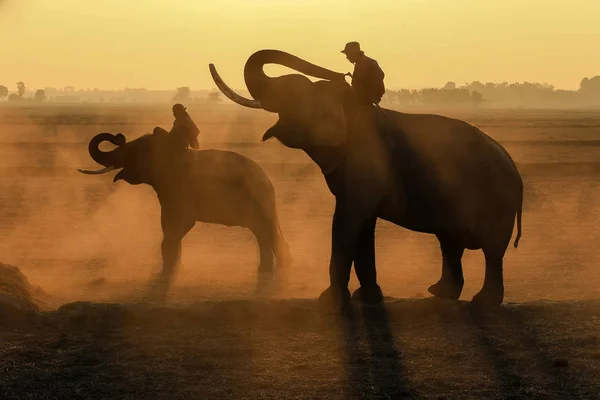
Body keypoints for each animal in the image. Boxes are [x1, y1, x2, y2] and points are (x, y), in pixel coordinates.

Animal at [76, 130, 292, 298]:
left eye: (134, 151)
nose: (118, 136)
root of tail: (266, 179)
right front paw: (173, 269)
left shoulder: (180, 189)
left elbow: (178, 224)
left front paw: (166, 275)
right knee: (262, 233)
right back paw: (268, 271)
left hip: (259, 200)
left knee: (267, 231)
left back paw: (277, 272)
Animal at [209, 48, 524, 308]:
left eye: (293, 92)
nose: (339, 73)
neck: (349, 107)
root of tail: (512, 164)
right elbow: (362, 224)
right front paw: (367, 298)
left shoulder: (366, 166)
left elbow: (347, 220)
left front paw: (330, 301)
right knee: (450, 242)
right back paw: (440, 293)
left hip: (496, 198)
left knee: (491, 250)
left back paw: (482, 302)